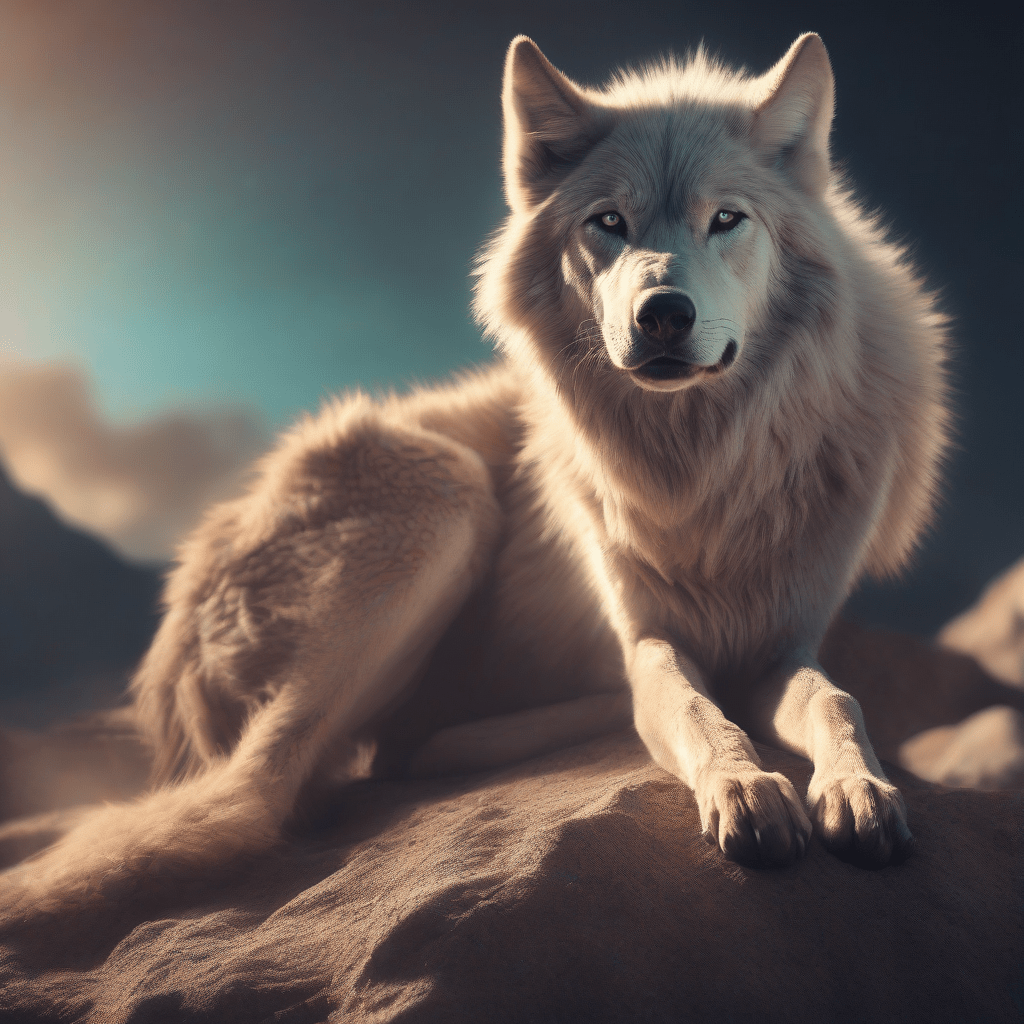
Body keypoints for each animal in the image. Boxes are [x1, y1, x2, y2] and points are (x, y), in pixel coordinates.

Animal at [2, 32, 949, 913]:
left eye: (727, 219)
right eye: (609, 223)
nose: (663, 315)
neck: (701, 466)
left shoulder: (784, 640)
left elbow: (836, 701)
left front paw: (859, 790)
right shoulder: (647, 636)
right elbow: (688, 705)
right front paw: (745, 785)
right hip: (445, 490)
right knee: (256, 798)